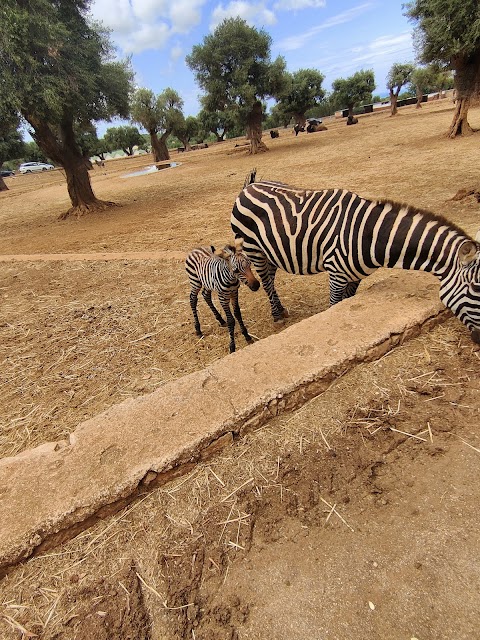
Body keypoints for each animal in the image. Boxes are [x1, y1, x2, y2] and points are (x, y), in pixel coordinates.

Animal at [231, 171, 480, 344]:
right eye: (475, 289)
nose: (479, 341)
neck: (370, 236)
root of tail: (249, 186)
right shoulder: (336, 273)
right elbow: (334, 305)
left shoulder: (356, 275)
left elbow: (346, 302)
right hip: (253, 249)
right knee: (265, 281)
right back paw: (276, 315)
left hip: (270, 251)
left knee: (271, 279)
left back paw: (281, 308)